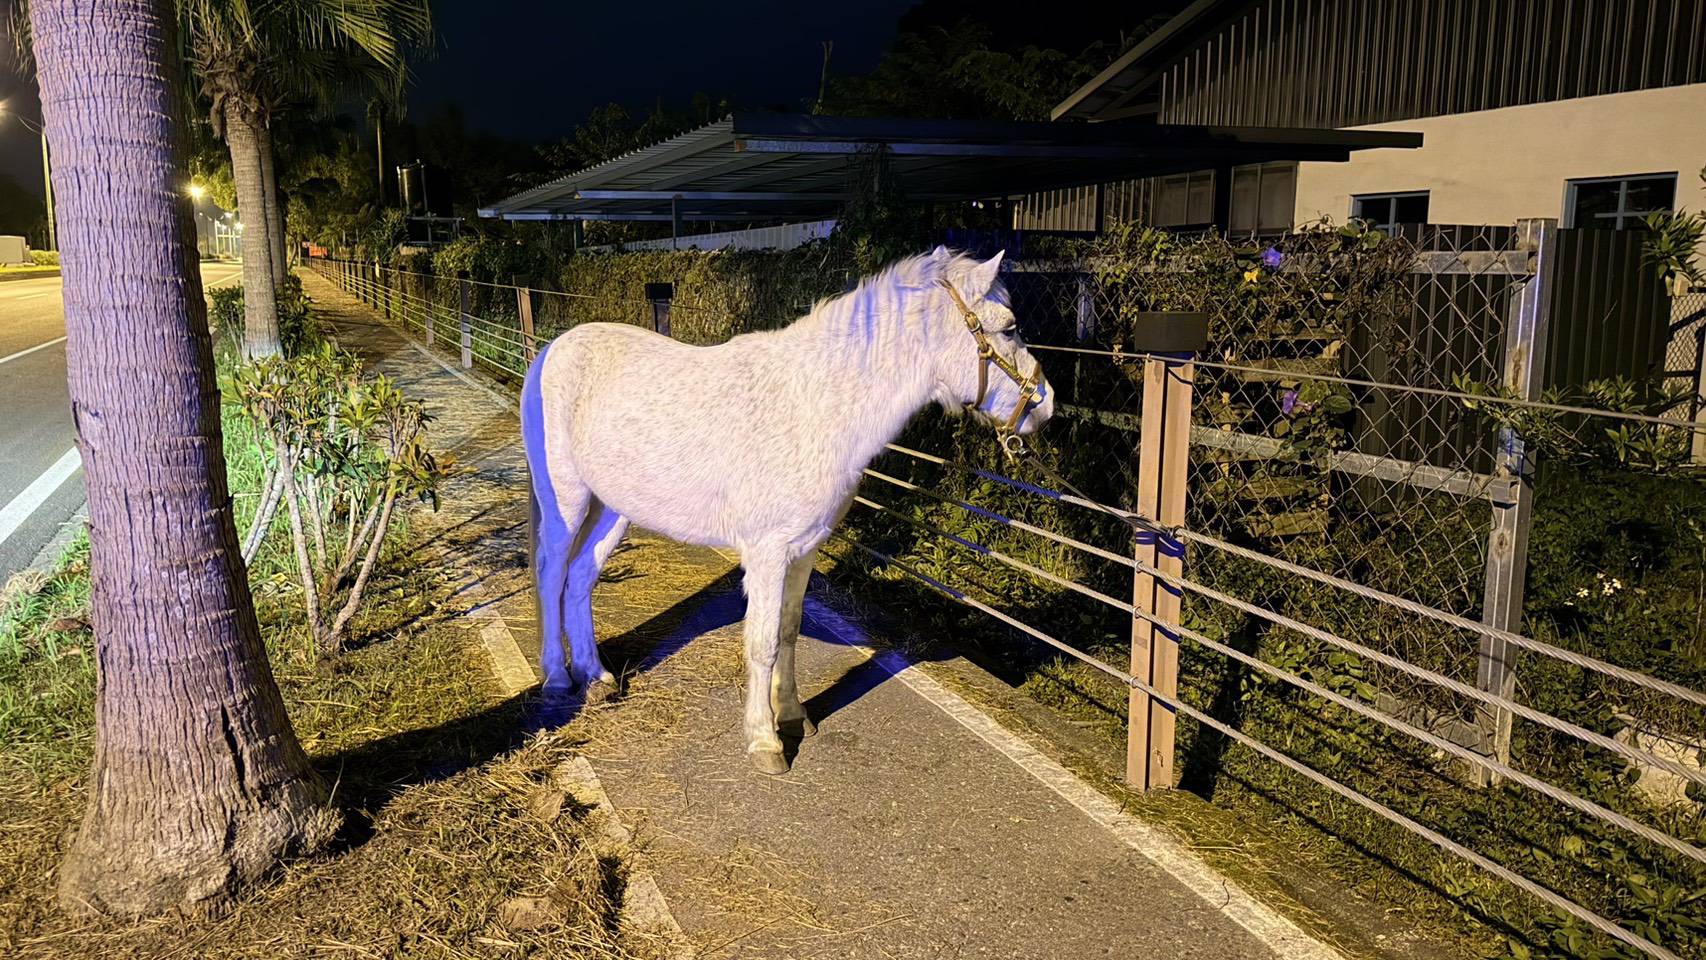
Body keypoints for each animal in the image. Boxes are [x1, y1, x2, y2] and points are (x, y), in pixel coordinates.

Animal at [520, 246, 1053, 774]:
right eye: (1009, 328)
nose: (1046, 406)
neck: (815, 407)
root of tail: (552, 350)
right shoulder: (768, 552)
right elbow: (763, 642)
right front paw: (765, 741)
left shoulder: (804, 549)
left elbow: (790, 630)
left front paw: (793, 715)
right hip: (567, 499)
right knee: (551, 572)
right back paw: (558, 679)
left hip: (613, 507)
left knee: (581, 576)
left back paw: (597, 676)